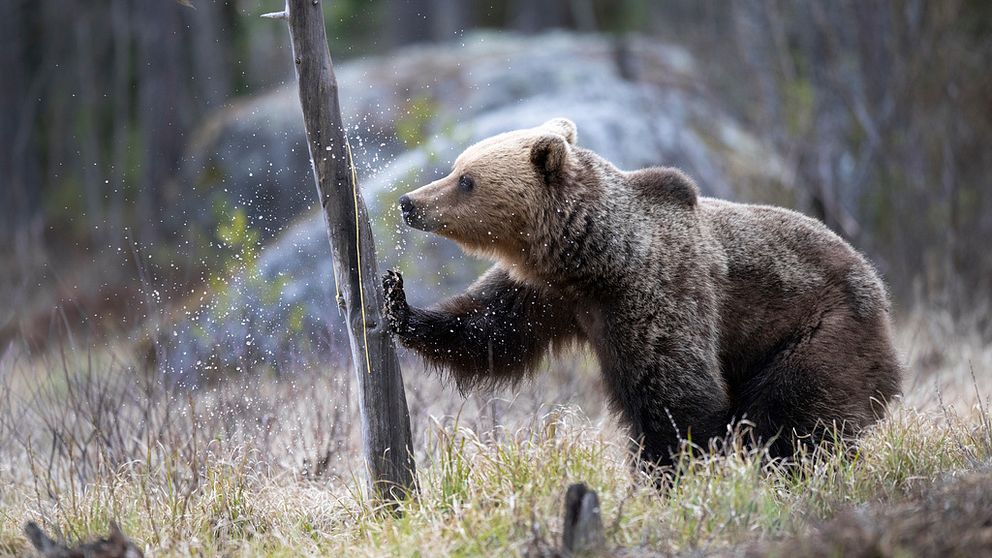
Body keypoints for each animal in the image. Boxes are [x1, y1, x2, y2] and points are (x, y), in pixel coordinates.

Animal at [384, 116, 904, 466]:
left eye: (465, 179)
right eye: (457, 168)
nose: (409, 202)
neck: (596, 259)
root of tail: (877, 286)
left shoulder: (656, 294)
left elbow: (675, 400)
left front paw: (667, 475)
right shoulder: (547, 294)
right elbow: (489, 330)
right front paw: (397, 303)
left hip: (823, 332)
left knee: (790, 418)